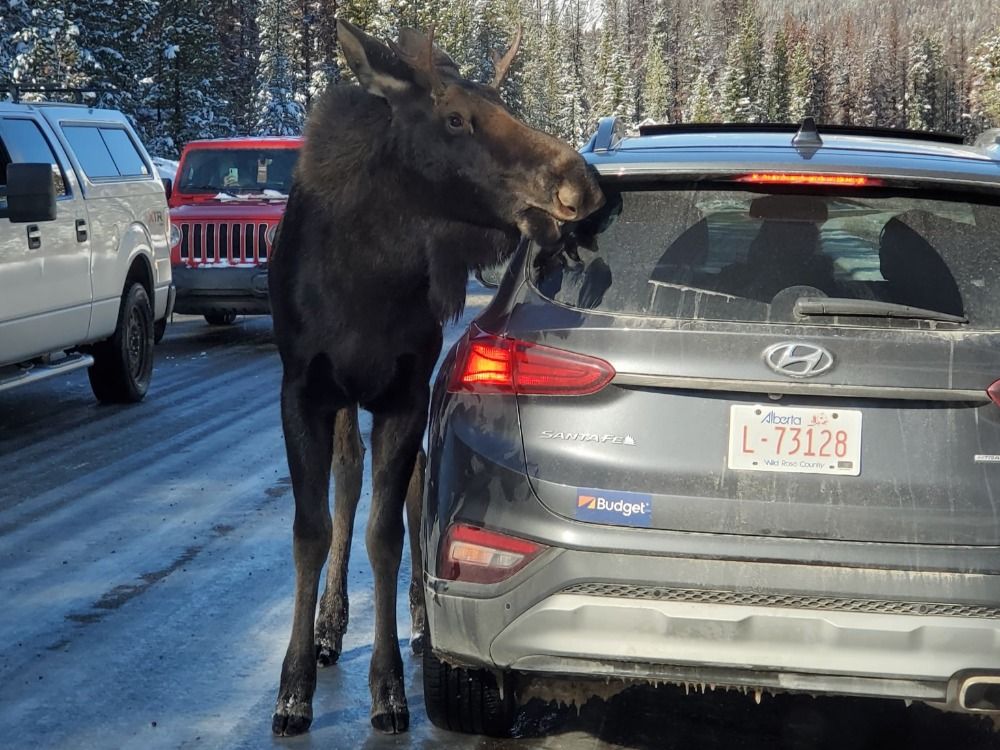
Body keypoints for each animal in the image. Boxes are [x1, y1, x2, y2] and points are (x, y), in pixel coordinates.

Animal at [266, 19, 604, 740]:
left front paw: (391, 688)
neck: (366, 282)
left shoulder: (405, 390)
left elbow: (388, 534)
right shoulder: (302, 389)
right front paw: (294, 687)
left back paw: (419, 619)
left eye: (501, 103)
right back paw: (332, 626)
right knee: (348, 479)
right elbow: (312, 529)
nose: (579, 180)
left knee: (413, 481)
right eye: (454, 118)